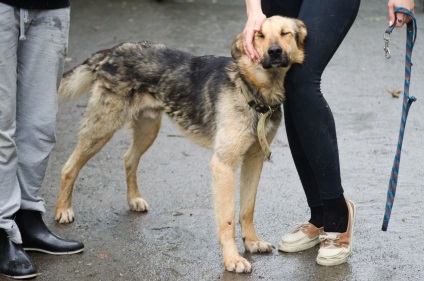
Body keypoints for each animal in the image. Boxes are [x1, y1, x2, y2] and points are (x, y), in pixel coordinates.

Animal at [54, 15, 306, 272]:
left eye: (285, 33)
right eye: (259, 35)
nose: (274, 52)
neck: (252, 88)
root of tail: (115, 50)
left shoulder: (254, 161)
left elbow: (247, 208)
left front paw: (252, 242)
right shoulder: (224, 165)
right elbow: (227, 219)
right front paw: (233, 259)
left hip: (148, 129)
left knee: (128, 158)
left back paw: (133, 199)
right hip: (102, 129)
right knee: (69, 167)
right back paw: (63, 210)